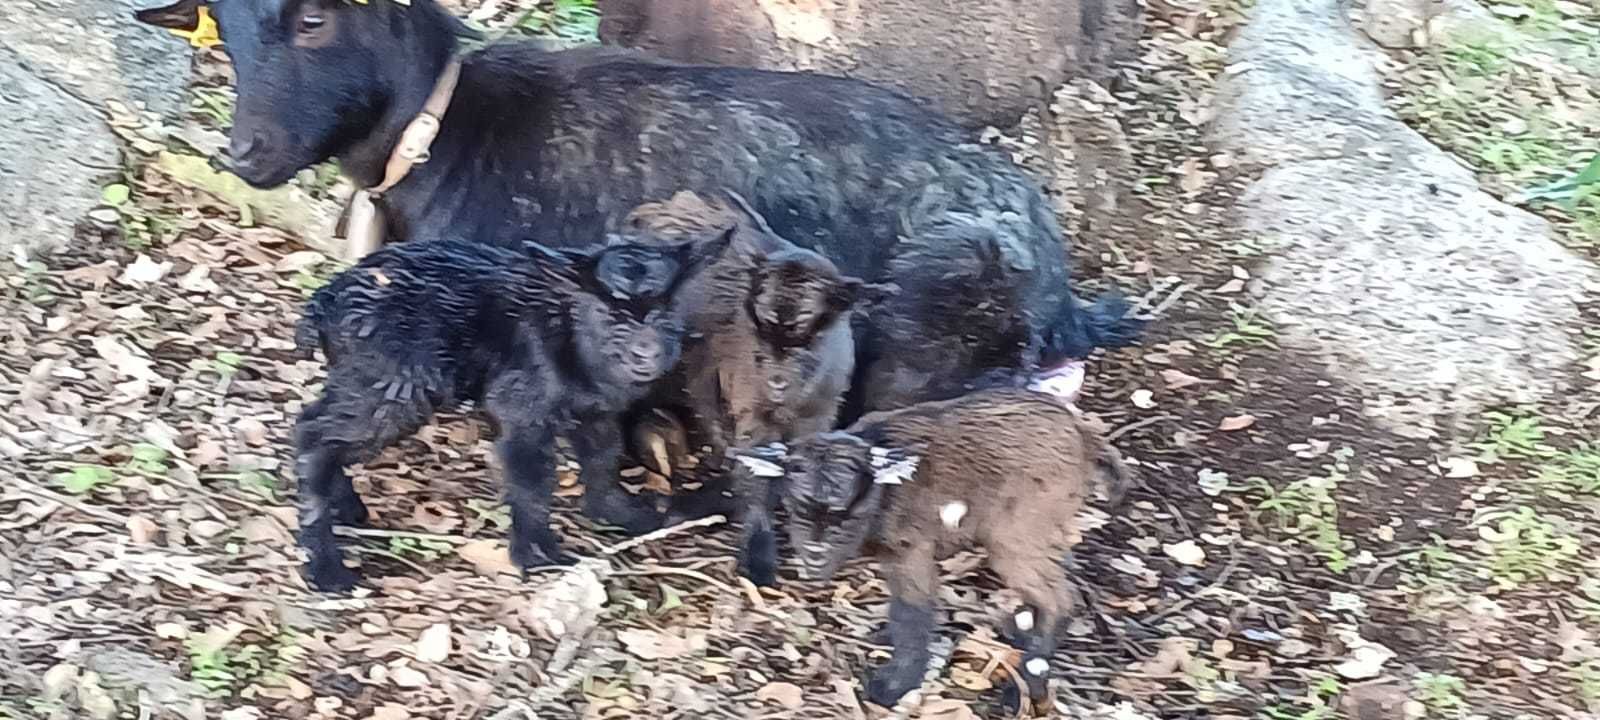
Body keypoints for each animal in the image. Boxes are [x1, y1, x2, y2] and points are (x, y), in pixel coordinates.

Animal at [296, 233, 732, 592]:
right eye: (609, 314)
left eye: (665, 312)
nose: (647, 354)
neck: (568, 329)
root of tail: (328, 299)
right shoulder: (522, 407)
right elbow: (532, 481)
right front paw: (539, 555)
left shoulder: (595, 411)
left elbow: (602, 458)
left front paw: (619, 512)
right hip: (393, 383)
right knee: (313, 435)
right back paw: (327, 567)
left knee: (320, 426)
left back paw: (346, 509)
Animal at [732, 388, 1132, 707]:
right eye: (797, 509)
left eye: (849, 515)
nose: (815, 556)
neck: (885, 491)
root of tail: (1085, 437)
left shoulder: (911, 551)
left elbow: (912, 612)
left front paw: (895, 685)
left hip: (1016, 531)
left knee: (1058, 598)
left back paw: (1026, 684)